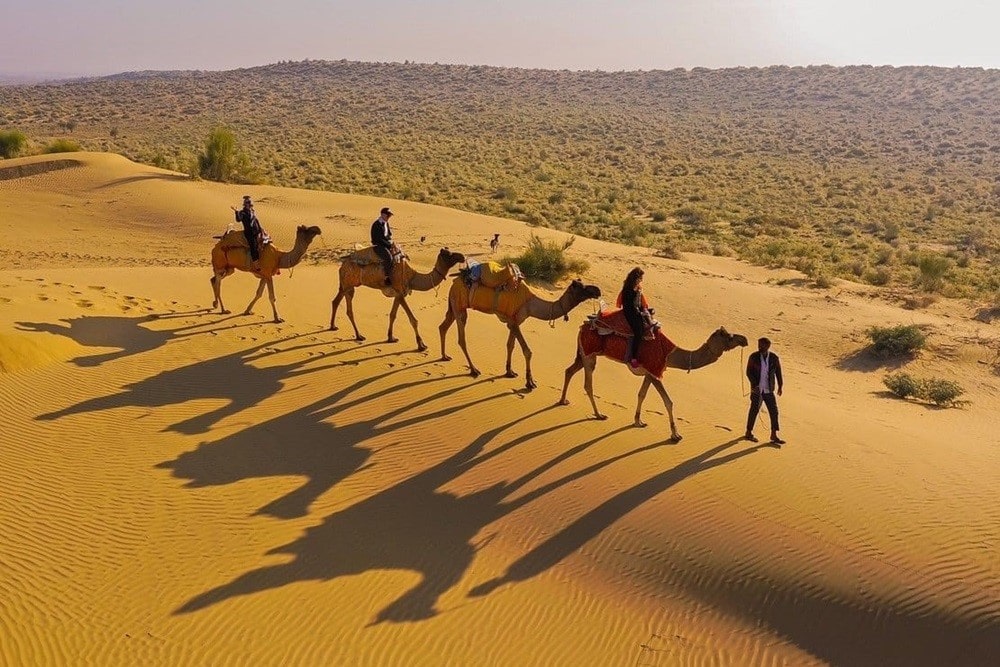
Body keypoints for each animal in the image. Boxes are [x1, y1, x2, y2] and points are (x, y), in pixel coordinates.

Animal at [330, 245, 466, 350]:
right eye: (449, 254)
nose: (462, 256)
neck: (412, 277)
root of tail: (343, 264)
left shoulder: (398, 294)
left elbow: (393, 315)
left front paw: (391, 337)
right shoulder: (400, 292)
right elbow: (413, 320)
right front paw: (421, 345)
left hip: (346, 285)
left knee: (336, 301)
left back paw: (335, 327)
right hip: (348, 283)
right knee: (346, 307)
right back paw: (358, 335)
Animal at [438, 276, 600, 392]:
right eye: (582, 287)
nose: (597, 290)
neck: (531, 304)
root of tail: (453, 284)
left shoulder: (515, 320)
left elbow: (510, 345)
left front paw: (509, 371)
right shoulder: (513, 321)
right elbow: (527, 351)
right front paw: (530, 382)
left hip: (453, 305)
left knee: (443, 327)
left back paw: (444, 356)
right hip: (459, 306)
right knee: (461, 338)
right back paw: (474, 370)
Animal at [560, 324, 748, 444]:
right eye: (729, 336)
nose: (744, 339)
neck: (671, 354)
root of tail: (581, 328)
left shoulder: (650, 373)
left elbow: (641, 394)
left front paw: (638, 421)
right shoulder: (655, 372)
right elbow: (668, 401)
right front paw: (675, 435)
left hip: (583, 353)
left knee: (569, 370)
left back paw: (563, 401)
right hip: (589, 354)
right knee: (587, 384)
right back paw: (599, 415)